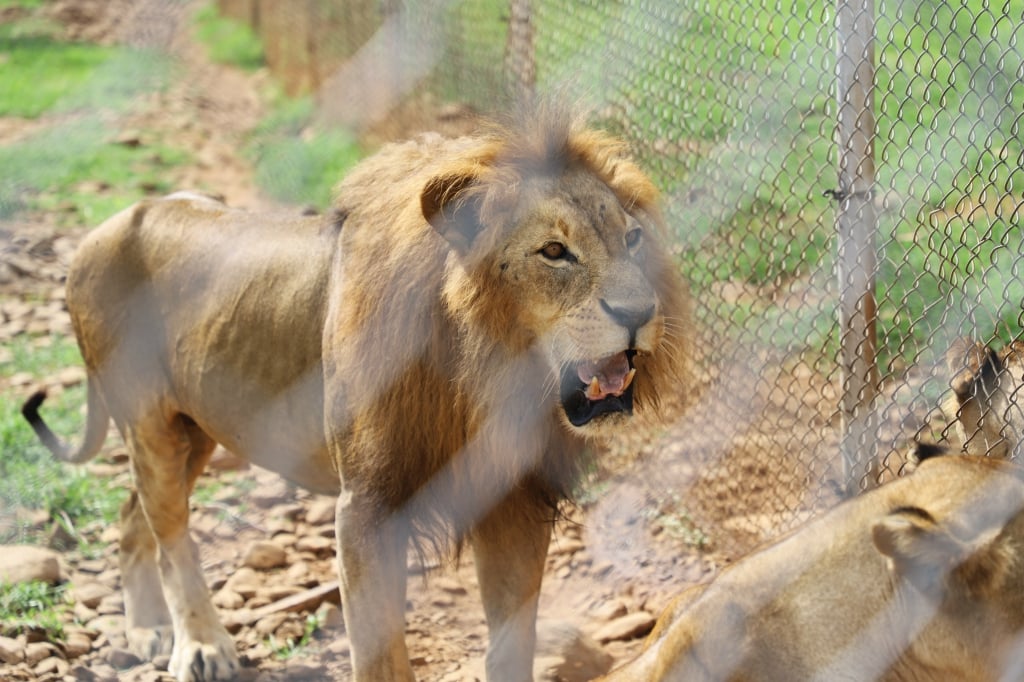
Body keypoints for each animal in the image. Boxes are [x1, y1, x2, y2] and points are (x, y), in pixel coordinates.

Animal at [24, 107, 692, 679]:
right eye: (554, 251)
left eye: (633, 240)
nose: (641, 312)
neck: (484, 370)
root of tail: (107, 225)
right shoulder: (368, 508)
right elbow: (379, 655)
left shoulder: (513, 496)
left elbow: (512, 642)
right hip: (149, 423)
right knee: (170, 537)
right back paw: (200, 647)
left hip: (196, 429)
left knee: (132, 517)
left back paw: (146, 631)